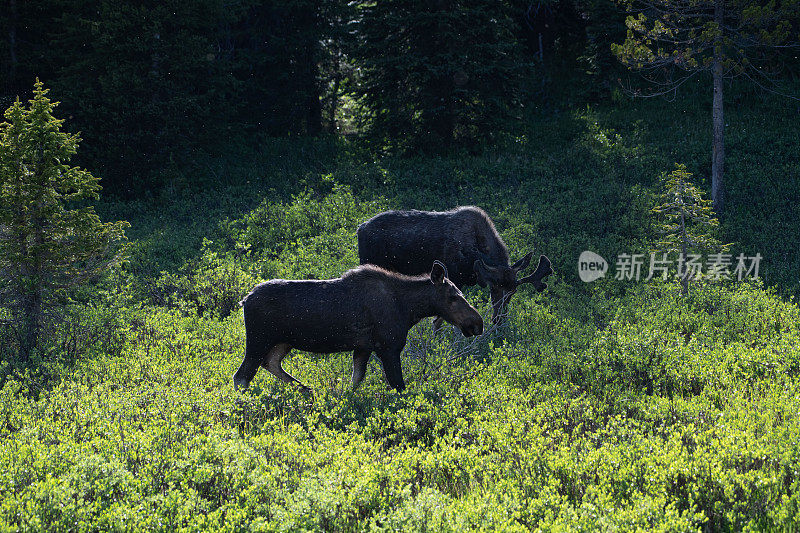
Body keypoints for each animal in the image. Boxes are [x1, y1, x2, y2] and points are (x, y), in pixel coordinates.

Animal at [231, 260, 482, 390]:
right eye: (453, 297)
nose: (477, 323)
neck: (409, 309)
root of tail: (244, 299)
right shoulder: (388, 347)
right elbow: (399, 386)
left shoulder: (364, 347)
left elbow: (356, 379)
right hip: (258, 339)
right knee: (241, 376)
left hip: (283, 342)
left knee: (270, 363)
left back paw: (305, 389)